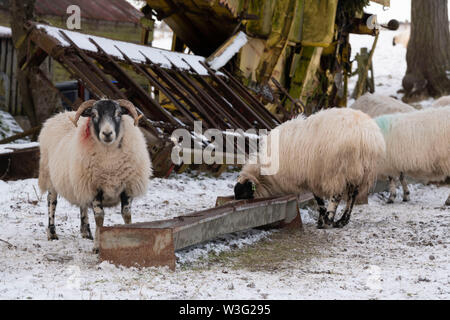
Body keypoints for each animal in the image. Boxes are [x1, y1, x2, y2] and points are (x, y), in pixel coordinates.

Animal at [38, 99, 153, 251]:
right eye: (93, 115)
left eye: (119, 113)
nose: (107, 133)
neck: (110, 161)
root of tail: (59, 115)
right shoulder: (94, 189)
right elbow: (99, 217)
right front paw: (97, 247)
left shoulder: (127, 187)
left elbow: (126, 214)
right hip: (51, 179)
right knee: (51, 203)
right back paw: (52, 234)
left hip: (80, 182)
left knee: (82, 205)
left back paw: (86, 232)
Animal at [234, 109, 384, 229]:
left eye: (244, 193)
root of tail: (364, 135)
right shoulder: (315, 177)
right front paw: (321, 220)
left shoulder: (312, 176)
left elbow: (319, 200)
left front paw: (322, 221)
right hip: (360, 172)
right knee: (352, 197)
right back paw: (342, 221)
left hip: (338, 170)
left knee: (336, 196)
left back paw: (329, 221)